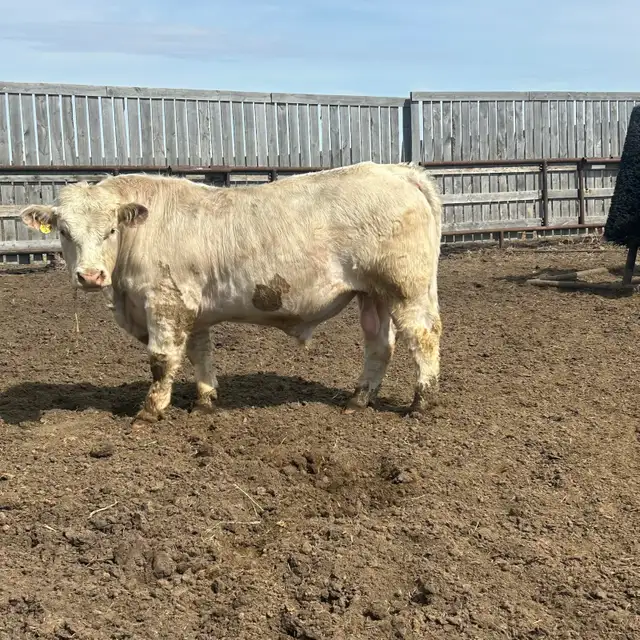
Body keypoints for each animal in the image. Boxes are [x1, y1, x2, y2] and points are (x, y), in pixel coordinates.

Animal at [20, 161, 443, 426]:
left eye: (111, 230)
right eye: (64, 231)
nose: (90, 276)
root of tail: (398, 171)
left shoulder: (165, 302)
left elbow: (161, 360)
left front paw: (150, 410)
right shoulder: (194, 308)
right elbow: (200, 354)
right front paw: (205, 403)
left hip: (406, 287)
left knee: (423, 336)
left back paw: (421, 403)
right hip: (373, 293)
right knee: (379, 344)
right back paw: (358, 400)